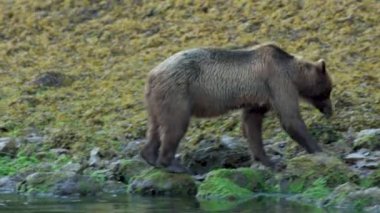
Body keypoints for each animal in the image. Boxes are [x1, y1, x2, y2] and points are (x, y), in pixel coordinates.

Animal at [139, 42, 332, 173]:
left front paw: (268, 160)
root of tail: (152, 74)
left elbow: (251, 124)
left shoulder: (258, 98)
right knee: (175, 126)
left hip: (157, 100)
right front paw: (318, 149)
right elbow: (290, 118)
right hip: (177, 93)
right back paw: (173, 165)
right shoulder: (277, 82)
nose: (330, 111)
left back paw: (149, 156)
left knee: (155, 126)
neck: (293, 74)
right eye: (329, 90)